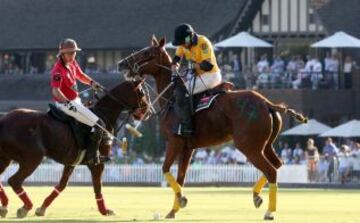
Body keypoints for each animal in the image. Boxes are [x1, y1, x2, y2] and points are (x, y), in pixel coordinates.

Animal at [0, 79, 149, 218]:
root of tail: (4, 120)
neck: (104, 115)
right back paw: (25, 207)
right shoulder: (97, 163)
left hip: (6, 158)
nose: (146, 112)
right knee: (14, 181)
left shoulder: (71, 162)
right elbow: (98, 186)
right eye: (141, 92)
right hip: (33, 158)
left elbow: (61, 185)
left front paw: (42, 208)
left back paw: (5, 207)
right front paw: (104, 210)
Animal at [117, 35, 306, 220]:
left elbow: (165, 169)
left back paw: (269, 211)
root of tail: (267, 103)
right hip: (265, 145)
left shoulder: (174, 141)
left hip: (248, 146)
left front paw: (181, 200)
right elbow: (180, 178)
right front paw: (173, 210)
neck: (171, 98)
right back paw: (256, 196)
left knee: (271, 171)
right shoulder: (187, 147)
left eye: (146, 53)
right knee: (277, 164)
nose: (121, 64)